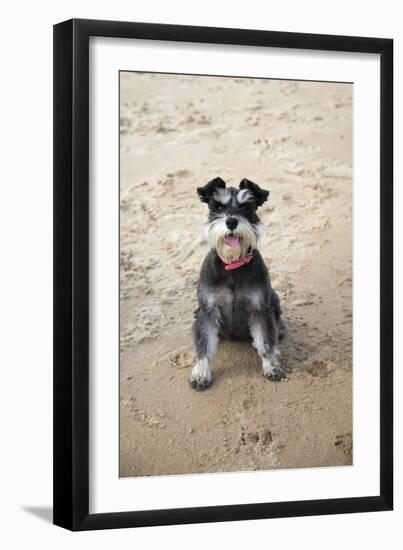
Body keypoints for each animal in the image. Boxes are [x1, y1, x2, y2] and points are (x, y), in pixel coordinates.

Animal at [190, 178, 288, 392]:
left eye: (246, 207)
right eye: (218, 206)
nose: (232, 222)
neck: (232, 266)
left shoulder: (260, 309)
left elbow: (266, 342)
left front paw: (272, 367)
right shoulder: (208, 311)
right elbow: (204, 344)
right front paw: (201, 373)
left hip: (274, 299)